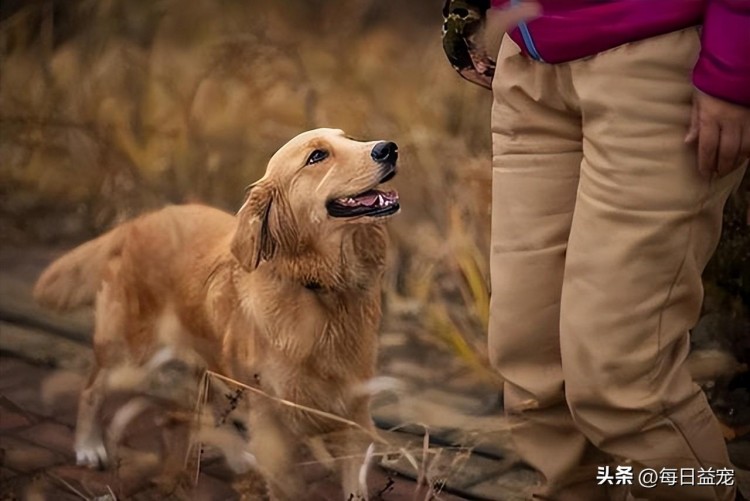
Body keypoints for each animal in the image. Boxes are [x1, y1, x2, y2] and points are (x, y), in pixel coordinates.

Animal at [33, 128, 402, 496]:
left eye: (349, 138)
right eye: (317, 156)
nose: (389, 148)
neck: (320, 288)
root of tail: (140, 221)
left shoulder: (355, 419)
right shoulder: (273, 429)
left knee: (207, 407)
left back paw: (237, 455)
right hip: (130, 354)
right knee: (91, 389)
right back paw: (88, 446)